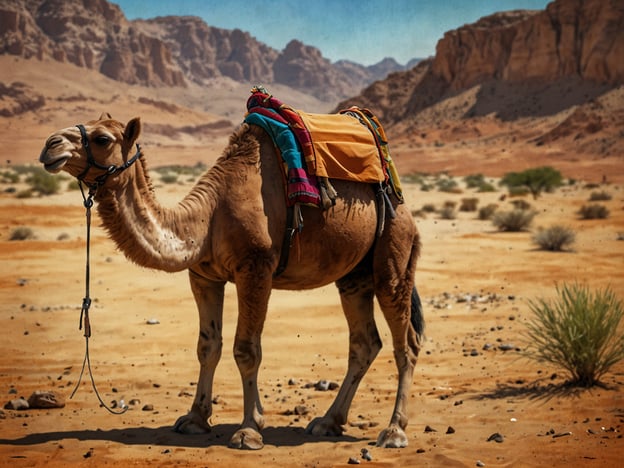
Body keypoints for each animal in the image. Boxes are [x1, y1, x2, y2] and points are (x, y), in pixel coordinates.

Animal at [40, 112, 424, 450]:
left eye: (102, 138)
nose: (50, 144)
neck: (208, 219)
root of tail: (405, 206)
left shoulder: (255, 269)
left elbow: (246, 350)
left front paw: (249, 430)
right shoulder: (203, 275)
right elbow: (207, 346)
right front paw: (194, 419)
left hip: (393, 254)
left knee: (406, 343)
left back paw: (394, 431)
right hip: (353, 276)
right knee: (364, 343)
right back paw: (328, 422)